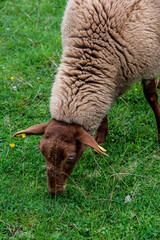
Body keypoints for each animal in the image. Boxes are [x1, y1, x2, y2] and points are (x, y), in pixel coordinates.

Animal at [14, 0, 160, 197]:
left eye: (71, 157)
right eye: (41, 150)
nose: (54, 192)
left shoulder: (149, 64)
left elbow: (151, 97)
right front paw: (101, 137)